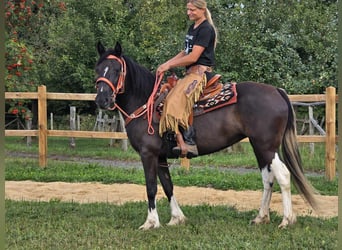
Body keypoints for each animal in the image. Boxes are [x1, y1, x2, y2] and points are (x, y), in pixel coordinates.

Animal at [93, 42, 318, 229]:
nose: (102, 100)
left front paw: (150, 223)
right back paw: (261, 217)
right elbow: (167, 185)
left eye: (117, 70)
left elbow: (151, 187)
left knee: (283, 175)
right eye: (97, 69)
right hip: (260, 147)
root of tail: (277, 91)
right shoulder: (160, 156)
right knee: (267, 178)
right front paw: (176, 218)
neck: (145, 102)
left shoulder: (148, 154)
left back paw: (286, 220)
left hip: (267, 146)